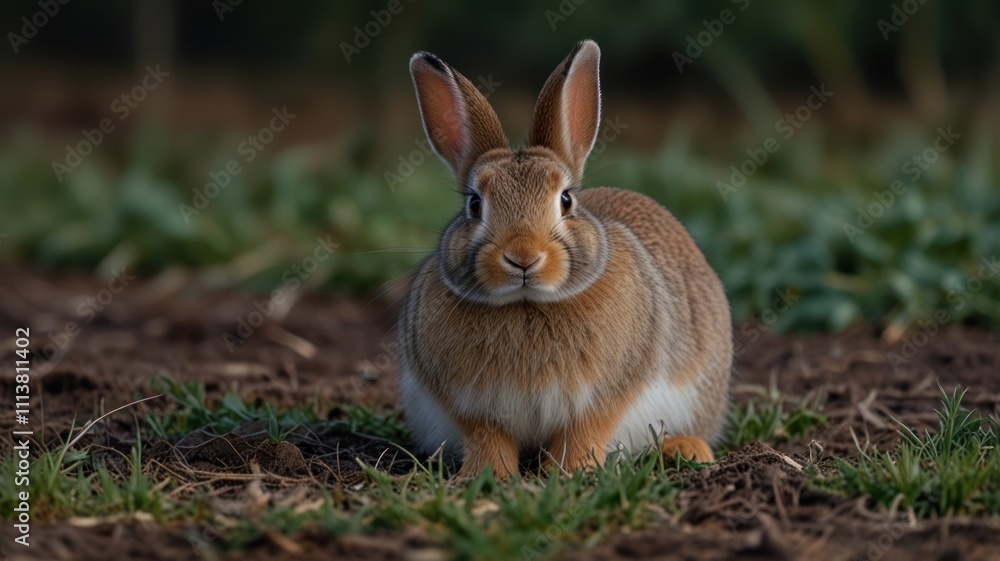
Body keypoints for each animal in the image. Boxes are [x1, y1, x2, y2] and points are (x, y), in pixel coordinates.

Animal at [397, 39, 732, 480]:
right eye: (474, 205)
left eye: (566, 200)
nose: (523, 257)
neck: (525, 303)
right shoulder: (473, 406)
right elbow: (488, 437)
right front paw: (485, 476)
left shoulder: (606, 395)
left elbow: (586, 431)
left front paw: (572, 472)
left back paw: (687, 448)